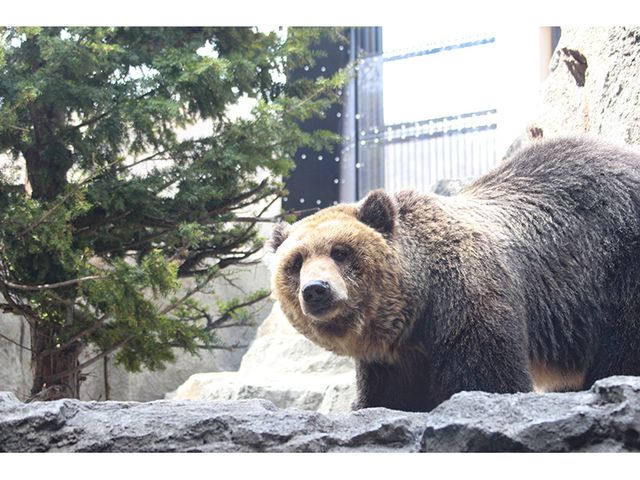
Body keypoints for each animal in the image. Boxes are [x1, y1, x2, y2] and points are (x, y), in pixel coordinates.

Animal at [268, 137, 640, 410]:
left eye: (340, 252)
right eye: (296, 262)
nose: (316, 289)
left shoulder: (468, 297)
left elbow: (488, 377)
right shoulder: (393, 359)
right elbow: (390, 397)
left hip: (617, 261)